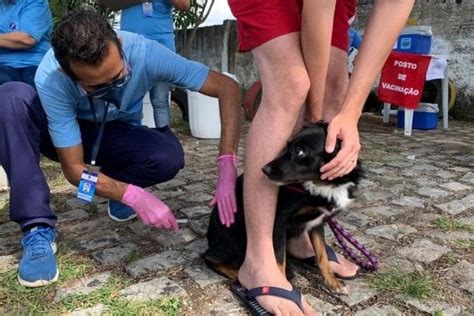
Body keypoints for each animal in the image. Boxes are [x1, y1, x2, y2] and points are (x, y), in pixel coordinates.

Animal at [204, 121, 362, 294]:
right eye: (287, 146)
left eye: (299, 151)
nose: (264, 169)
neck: (320, 186)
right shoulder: (279, 223)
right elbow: (279, 260)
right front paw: (283, 285)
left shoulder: (317, 222)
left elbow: (322, 255)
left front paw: (333, 283)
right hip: (236, 242)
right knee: (208, 257)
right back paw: (237, 275)